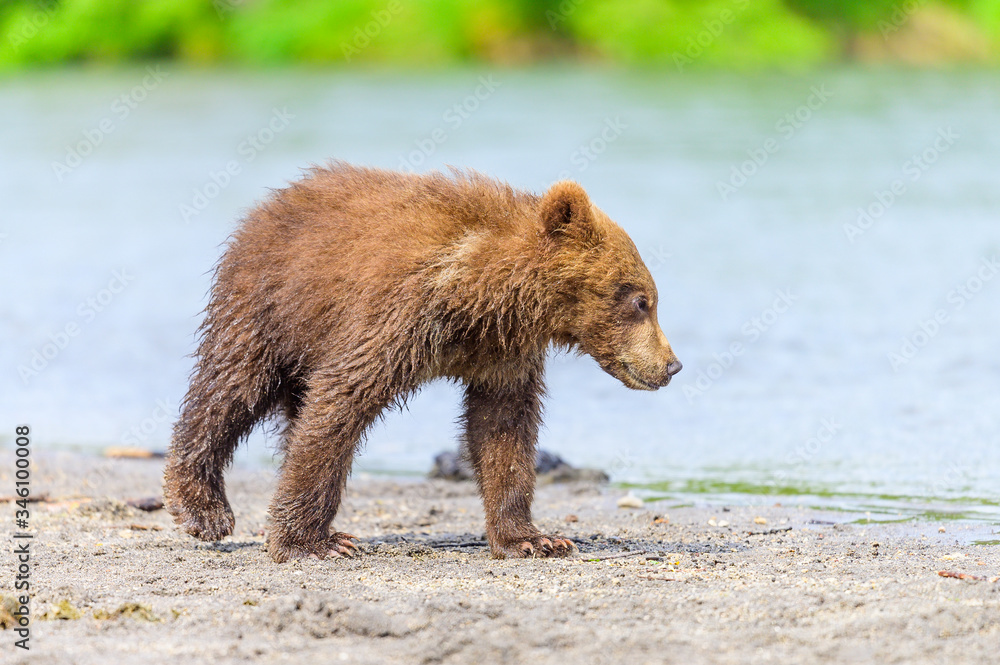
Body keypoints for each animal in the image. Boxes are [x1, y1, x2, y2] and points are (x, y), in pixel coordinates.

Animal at [163, 162, 682, 562]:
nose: (673, 365)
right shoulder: (399, 314)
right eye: (641, 300)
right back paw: (203, 508)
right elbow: (340, 403)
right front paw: (308, 544)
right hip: (267, 305)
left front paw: (533, 539)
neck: (483, 293)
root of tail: (271, 203)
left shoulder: (503, 354)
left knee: (288, 412)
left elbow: (503, 430)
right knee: (231, 390)